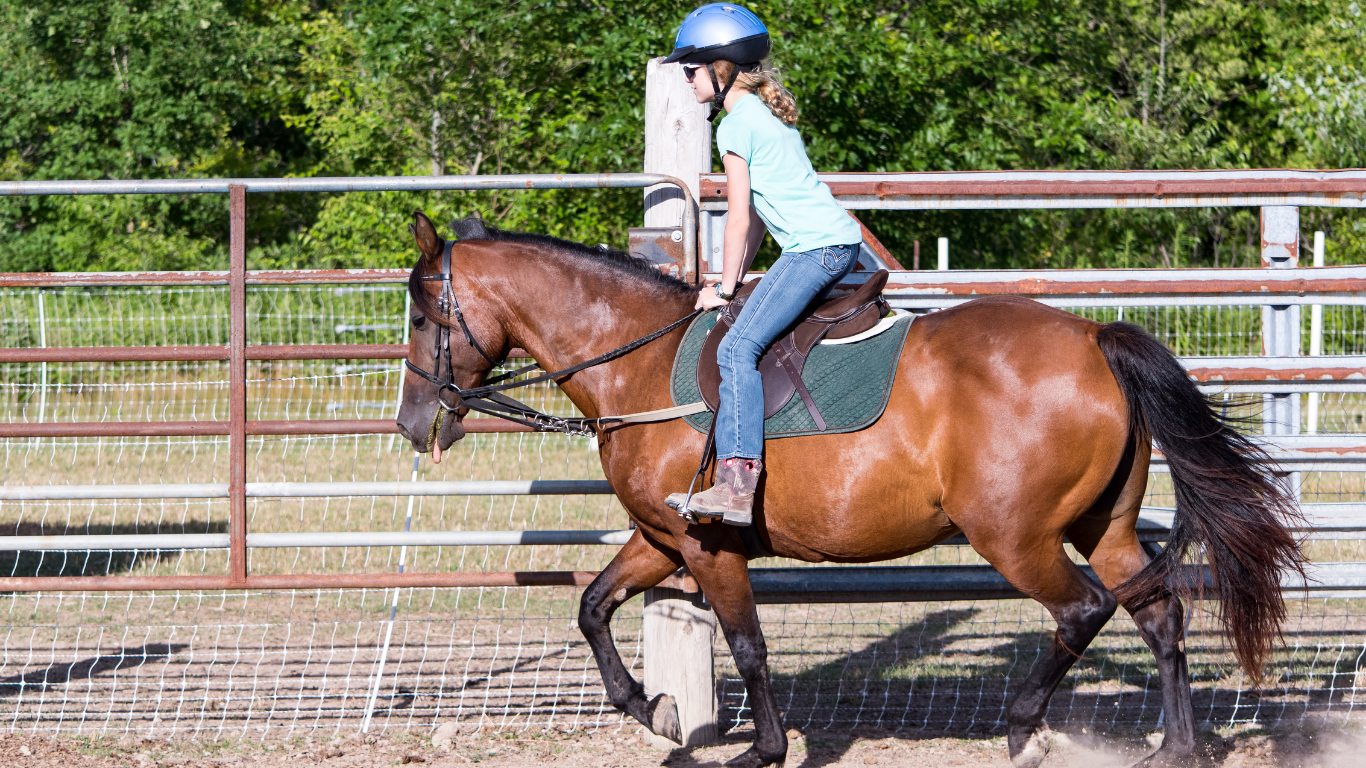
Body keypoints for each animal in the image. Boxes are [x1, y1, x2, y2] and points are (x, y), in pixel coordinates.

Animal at [394, 211, 1305, 768]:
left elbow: (748, 644)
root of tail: (1091, 338)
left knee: (1084, 609)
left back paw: (1023, 727)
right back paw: (1172, 747)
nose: (413, 421)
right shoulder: (661, 538)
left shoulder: (706, 543)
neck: (638, 360)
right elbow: (591, 606)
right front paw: (652, 709)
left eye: (422, 315)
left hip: (1015, 536)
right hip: (1100, 526)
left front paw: (760, 747)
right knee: (1159, 614)